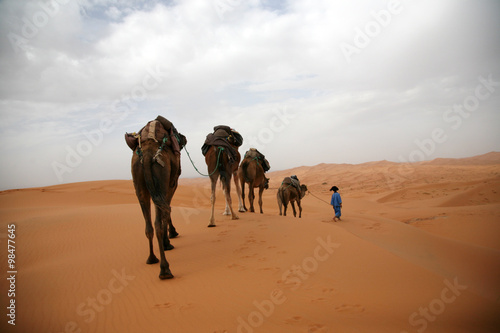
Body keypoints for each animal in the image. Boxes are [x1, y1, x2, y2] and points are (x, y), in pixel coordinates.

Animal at [127, 116, 186, 278]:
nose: (184, 138)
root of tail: (147, 156)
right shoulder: (171, 184)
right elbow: (167, 210)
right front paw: (169, 239)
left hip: (139, 183)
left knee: (148, 226)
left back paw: (152, 258)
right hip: (162, 178)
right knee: (158, 223)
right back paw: (165, 269)